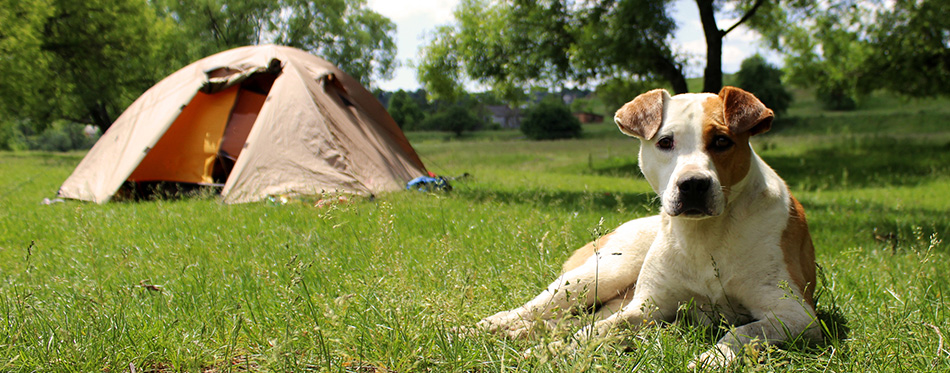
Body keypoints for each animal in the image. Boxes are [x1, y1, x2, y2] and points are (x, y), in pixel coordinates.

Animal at [480, 86, 820, 366]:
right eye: (665, 142)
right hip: (602, 274)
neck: (703, 236)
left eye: (722, 141)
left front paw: (713, 357)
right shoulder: (646, 306)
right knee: (539, 308)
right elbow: (595, 332)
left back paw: (525, 335)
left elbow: (744, 333)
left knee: (569, 320)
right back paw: (489, 326)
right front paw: (554, 352)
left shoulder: (795, 315)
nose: (693, 184)